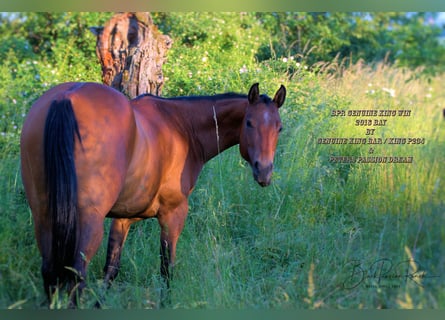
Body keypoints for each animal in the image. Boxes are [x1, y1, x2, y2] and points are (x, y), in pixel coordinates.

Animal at [20, 80, 284, 304]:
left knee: (49, 272)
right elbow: (167, 269)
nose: (264, 171)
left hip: (44, 216)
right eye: (249, 123)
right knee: (77, 277)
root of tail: (67, 97)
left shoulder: (123, 218)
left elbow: (111, 269)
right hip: (88, 222)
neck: (182, 126)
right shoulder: (173, 214)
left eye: (279, 128)